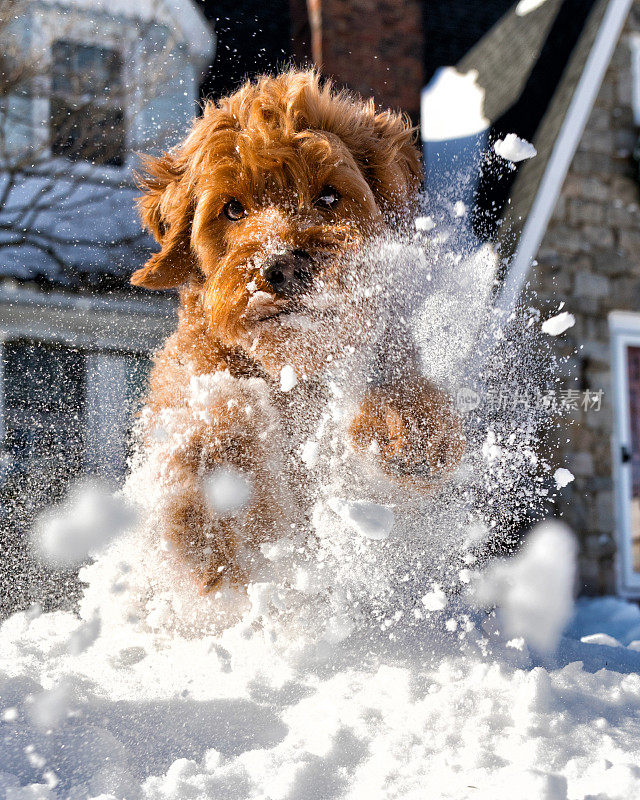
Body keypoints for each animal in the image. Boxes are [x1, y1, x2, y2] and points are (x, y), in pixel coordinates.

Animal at [132, 70, 462, 592]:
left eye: (328, 196)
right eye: (232, 209)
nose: (280, 267)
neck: (291, 374)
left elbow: (399, 386)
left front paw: (409, 430)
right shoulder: (191, 387)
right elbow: (212, 423)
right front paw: (214, 508)